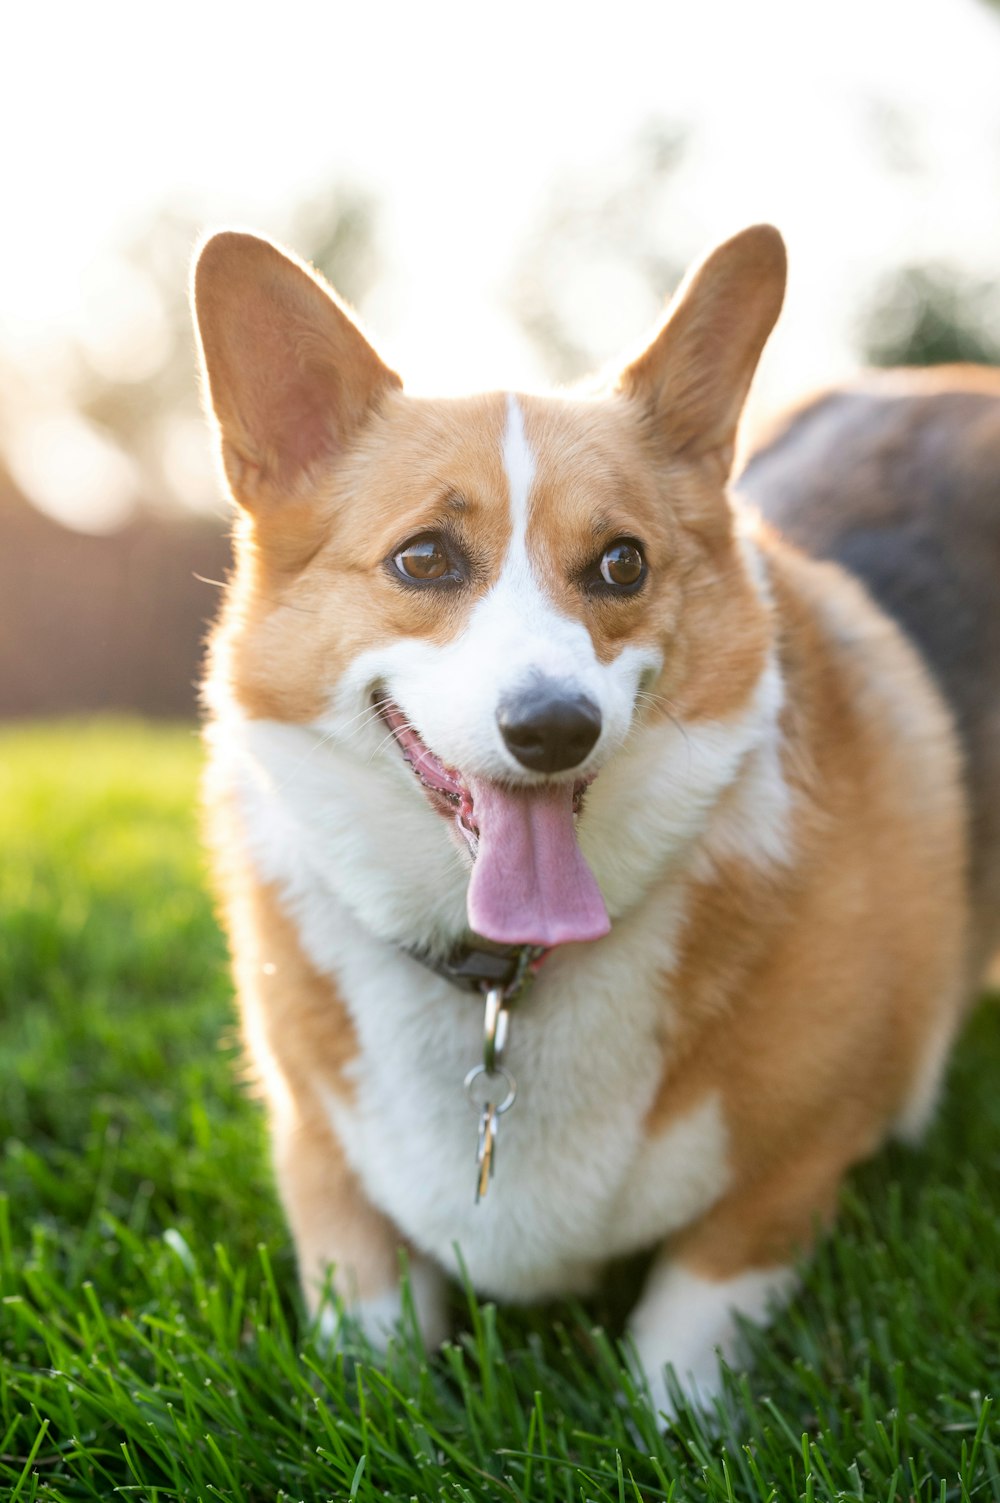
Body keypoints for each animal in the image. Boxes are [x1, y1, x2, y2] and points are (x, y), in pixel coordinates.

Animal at [190, 219, 992, 1406]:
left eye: (622, 563)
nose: (554, 728)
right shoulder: (316, 1150)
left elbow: (688, 1320)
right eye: (422, 557)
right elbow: (366, 1322)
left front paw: (672, 1419)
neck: (498, 979)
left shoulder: (790, 1176)